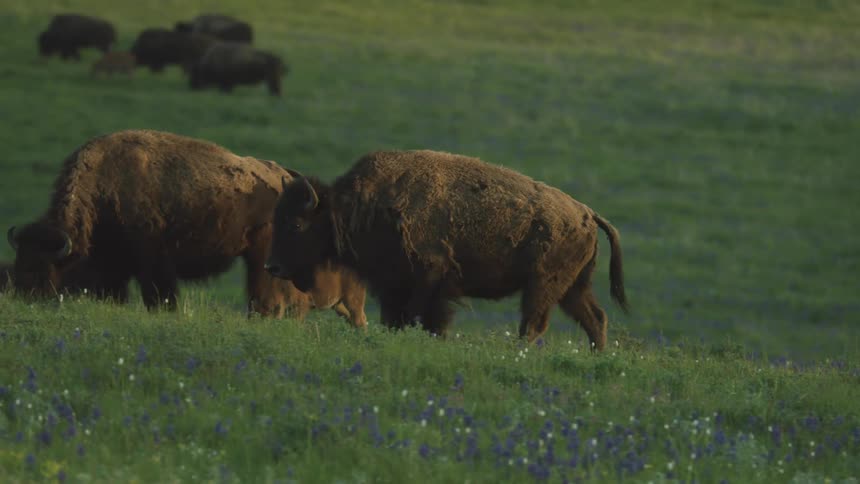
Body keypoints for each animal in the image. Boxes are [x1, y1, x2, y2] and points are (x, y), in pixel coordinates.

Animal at [7, 129, 366, 323]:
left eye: (43, 272)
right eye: (16, 266)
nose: (23, 300)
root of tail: (285, 178)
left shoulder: (153, 262)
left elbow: (160, 296)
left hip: (260, 256)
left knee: (267, 291)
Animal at [266, 150, 629, 349]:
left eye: (296, 224)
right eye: (276, 217)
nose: (272, 267)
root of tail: (586, 213)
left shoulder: (429, 282)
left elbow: (422, 319)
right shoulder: (392, 286)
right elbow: (398, 320)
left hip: (543, 286)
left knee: (534, 324)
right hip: (572, 288)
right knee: (595, 319)